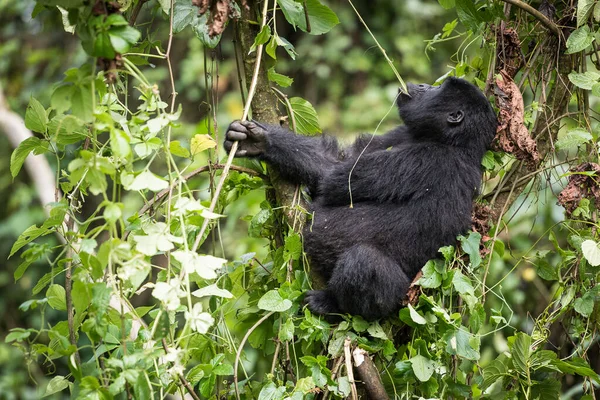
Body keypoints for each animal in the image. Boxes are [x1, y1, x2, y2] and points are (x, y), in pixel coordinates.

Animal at [225, 76, 496, 320]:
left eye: (438, 88)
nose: (423, 85)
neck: (454, 142)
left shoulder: (429, 159)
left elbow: (334, 179)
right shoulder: (403, 132)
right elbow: (341, 159)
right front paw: (261, 141)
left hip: (400, 301)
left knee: (363, 261)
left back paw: (333, 305)